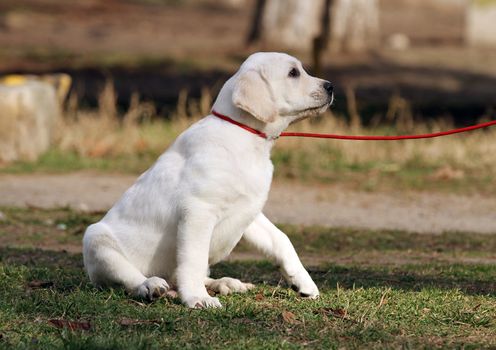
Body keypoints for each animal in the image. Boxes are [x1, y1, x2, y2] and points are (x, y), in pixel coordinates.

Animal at [83, 52, 336, 308]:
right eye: (293, 73)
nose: (330, 86)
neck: (244, 137)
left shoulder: (249, 211)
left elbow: (281, 239)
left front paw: (304, 282)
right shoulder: (198, 211)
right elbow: (193, 259)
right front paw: (197, 298)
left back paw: (225, 283)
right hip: (96, 240)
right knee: (130, 277)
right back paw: (151, 285)